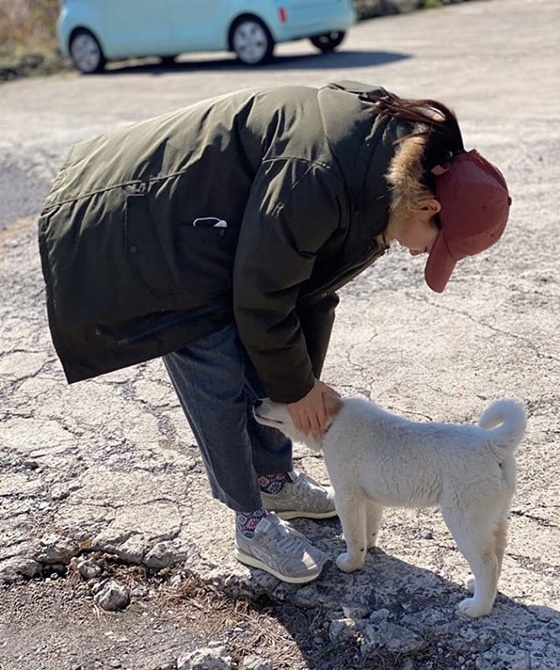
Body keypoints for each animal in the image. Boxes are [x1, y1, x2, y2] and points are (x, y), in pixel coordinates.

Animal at [256, 394, 528, 620]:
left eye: (282, 397)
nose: (256, 401)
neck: (333, 420)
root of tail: (492, 442)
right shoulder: (369, 498)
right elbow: (368, 528)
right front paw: (368, 547)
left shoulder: (347, 496)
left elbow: (353, 536)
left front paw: (351, 563)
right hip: (493, 516)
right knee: (497, 553)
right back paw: (480, 588)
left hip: (465, 520)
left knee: (487, 563)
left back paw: (477, 608)